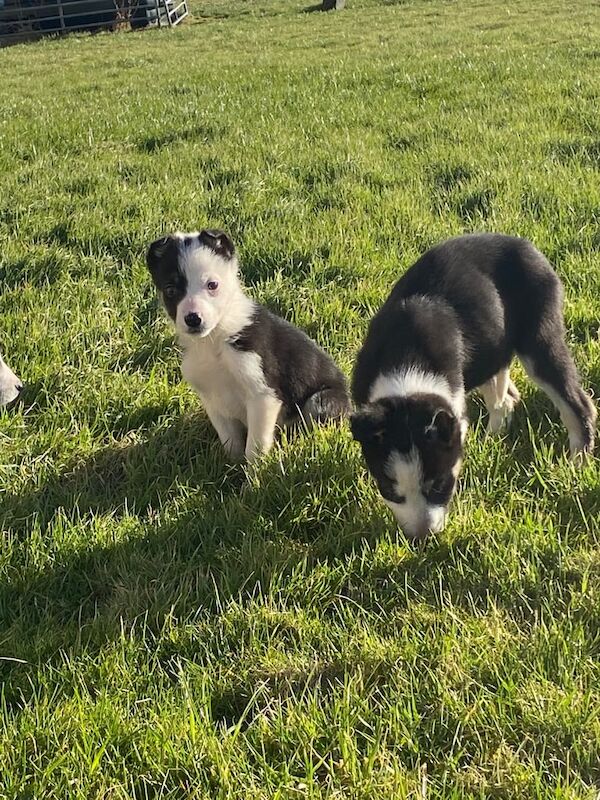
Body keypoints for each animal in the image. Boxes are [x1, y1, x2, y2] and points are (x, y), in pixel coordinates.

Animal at [146, 228, 352, 462]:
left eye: (212, 285)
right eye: (170, 290)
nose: (193, 319)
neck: (215, 339)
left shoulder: (262, 395)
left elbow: (255, 448)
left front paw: (254, 472)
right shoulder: (212, 401)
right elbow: (231, 443)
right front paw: (231, 467)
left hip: (321, 400)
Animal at [352, 234, 596, 540]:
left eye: (440, 484)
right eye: (389, 490)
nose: (423, 539)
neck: (406, 359)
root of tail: (524, 244)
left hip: (538, 339)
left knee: (576, 403)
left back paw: (578, 462)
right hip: (490, 349)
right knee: (506, 397)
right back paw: (492, 438)